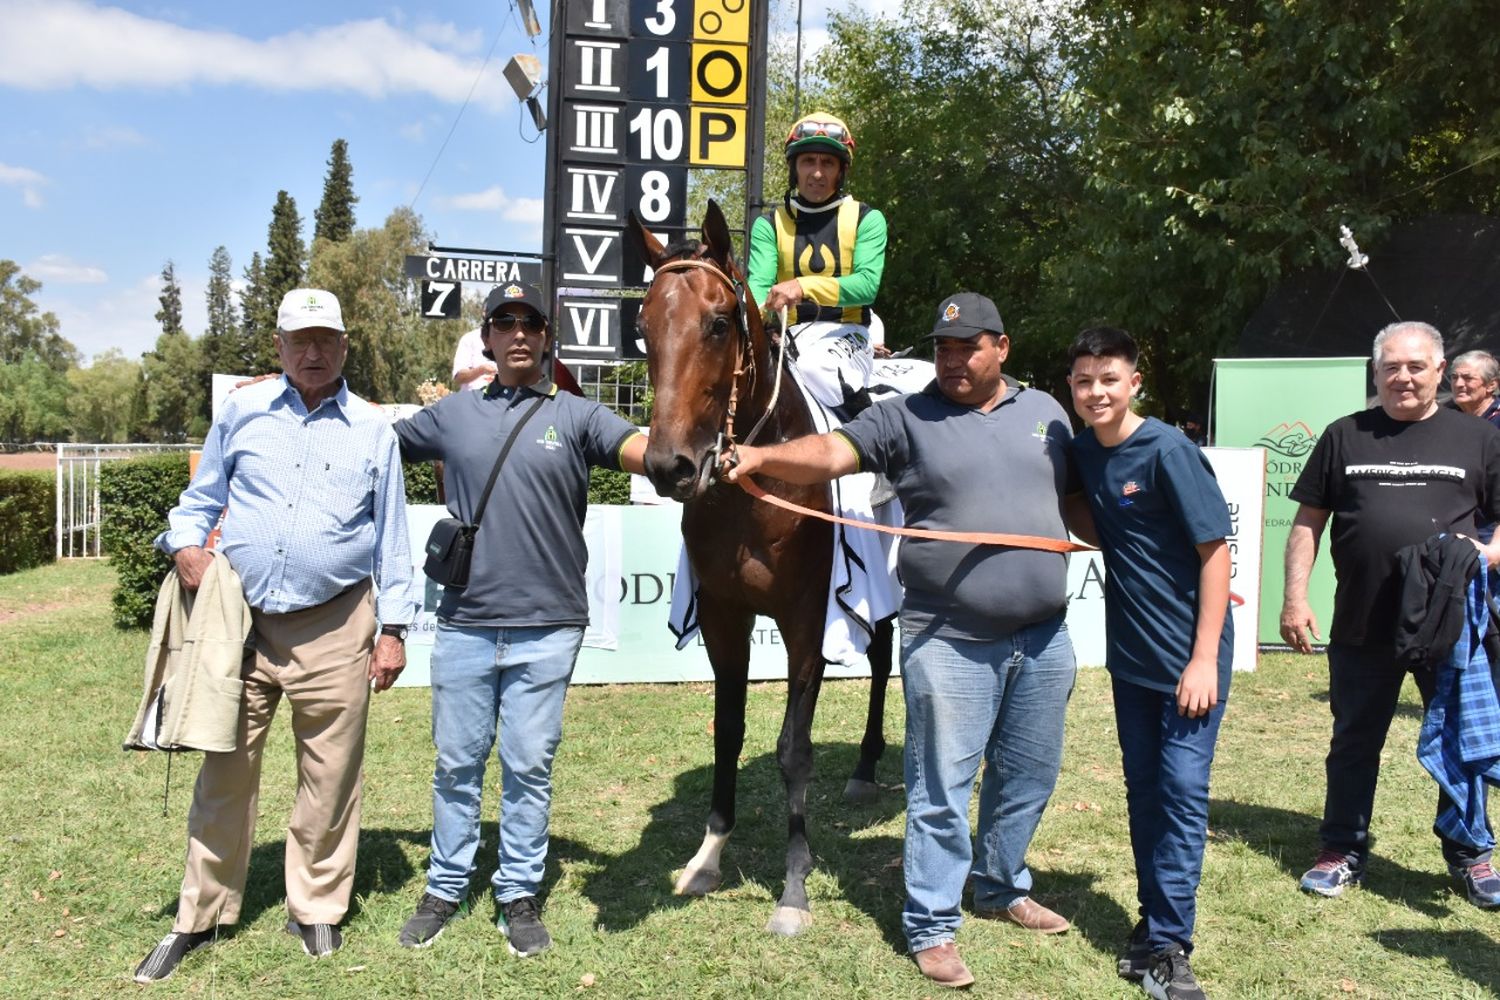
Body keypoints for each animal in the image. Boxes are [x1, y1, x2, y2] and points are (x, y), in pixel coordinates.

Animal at [627, 203, 894, 941]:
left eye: (719, 322)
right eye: (644, 328)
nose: (669, 466)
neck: (758, 483)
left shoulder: (806, 620)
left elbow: (792, 750)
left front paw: (794, 888)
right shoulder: (724, 616)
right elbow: (729, 731)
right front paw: (707, 858)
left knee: (886, 660)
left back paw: (868, 766)